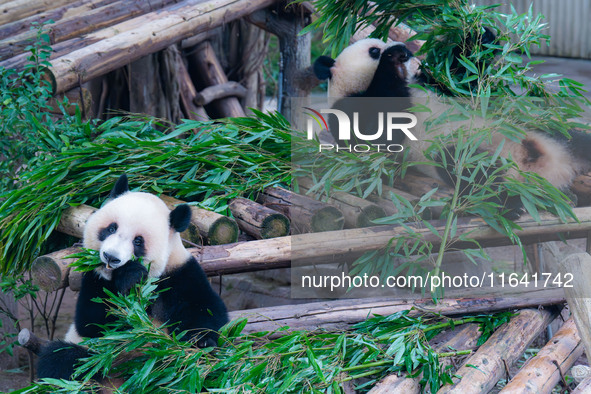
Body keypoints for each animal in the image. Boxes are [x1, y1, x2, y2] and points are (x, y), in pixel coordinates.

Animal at [35, 175, 228, 382]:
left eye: (138, 241)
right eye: (111, 228)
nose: (111, 257)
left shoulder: (180, 273)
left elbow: (207, 309)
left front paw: (202, 342)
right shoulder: (94, 278)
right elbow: (93, 323)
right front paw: (129, 278)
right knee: (63, 359)